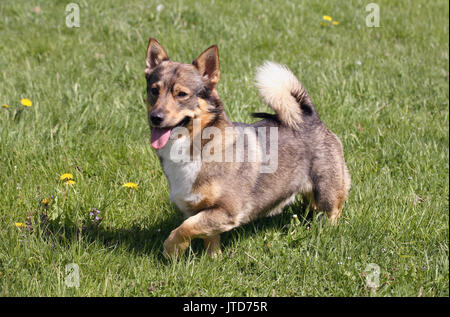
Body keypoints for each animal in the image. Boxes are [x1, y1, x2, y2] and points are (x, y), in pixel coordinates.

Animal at [146, 38, 350, 256]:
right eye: (154, 91)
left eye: (182, 94)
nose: (155, 117)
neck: (197, 146)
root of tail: (310, 117)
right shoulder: (199, 210)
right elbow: (204, 234)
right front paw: (213, 258)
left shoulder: (228, 210)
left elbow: (184, 229)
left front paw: (172, 250)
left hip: (327, 191)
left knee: (332, 211)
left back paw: (327, 232)